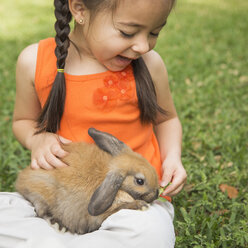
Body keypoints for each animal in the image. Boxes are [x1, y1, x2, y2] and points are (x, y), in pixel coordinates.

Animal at [15, 128, 160, 234]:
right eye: (140, 181)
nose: (156, 194)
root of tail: (21, 179)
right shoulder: (103, 214)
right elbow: (119, 208)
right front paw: (140, 205)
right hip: (42, 190)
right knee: (40, 210)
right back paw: (58, 225)